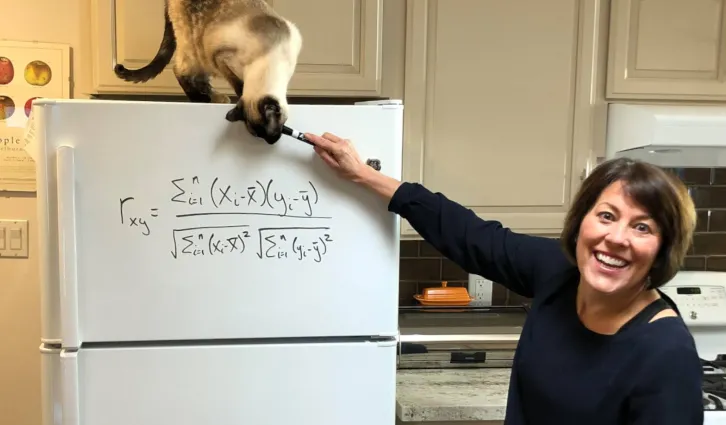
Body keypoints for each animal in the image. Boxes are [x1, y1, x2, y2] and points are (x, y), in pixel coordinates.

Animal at [115, 0, 302, 144]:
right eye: (260, 135)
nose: (272, 142)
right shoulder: (222, 59)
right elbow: (239, 86)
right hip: (195, 48)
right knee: (179, 70)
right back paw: (200, 99)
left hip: (202, 55)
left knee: (199, 79)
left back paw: (216, 98)